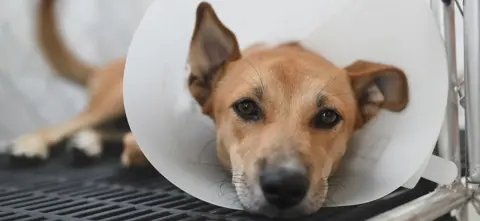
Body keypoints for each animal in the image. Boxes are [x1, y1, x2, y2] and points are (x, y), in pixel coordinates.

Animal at [10, 0, 408, 218]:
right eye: (246, 107)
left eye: (328, 116)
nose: (284, 187)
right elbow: (132, 147)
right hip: (110, 102)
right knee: (74, 122)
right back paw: (33, 143)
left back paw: (87, 144)